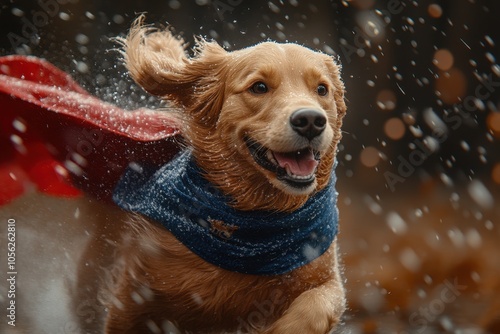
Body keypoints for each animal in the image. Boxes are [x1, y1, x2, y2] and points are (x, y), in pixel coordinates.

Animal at [97, 17, 348, 334]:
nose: (311, 121)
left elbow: (318, 304)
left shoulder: (322, 266)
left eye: (322, 89)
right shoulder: (135, 289)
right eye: (259, 87)